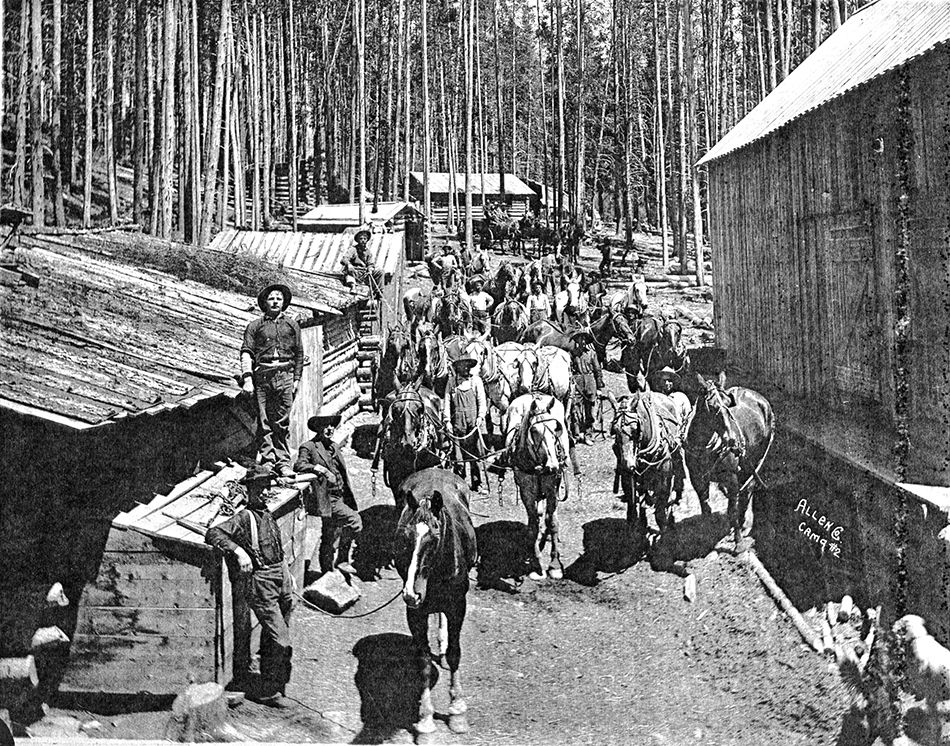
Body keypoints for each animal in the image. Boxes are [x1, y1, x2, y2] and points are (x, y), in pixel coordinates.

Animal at [394, 468, 478, 740]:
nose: (412, 593)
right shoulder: (415, 613)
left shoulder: (458, 606)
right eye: (406, 537)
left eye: (434, 537)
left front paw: (457, 711)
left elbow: (454, 654)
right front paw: (425, 721)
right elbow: (424, 665)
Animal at [504, 393, 572, 580]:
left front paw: (555, 565)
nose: (553, 465)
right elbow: (534, 524)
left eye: (556, 428)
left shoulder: (552, 489)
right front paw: (535, 562)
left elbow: (552, 522)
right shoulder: (527, 491)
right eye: (534, 431)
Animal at [684, 373, 774, 544]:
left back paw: (741, 521)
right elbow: (705, 506)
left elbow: (732, 508)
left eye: (728, 403)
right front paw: (706, 532)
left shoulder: (731, 476)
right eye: (711, 406)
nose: (732, 439)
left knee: (748, 488)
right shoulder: (696, 478)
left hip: (755, 459)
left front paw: (738, 540)